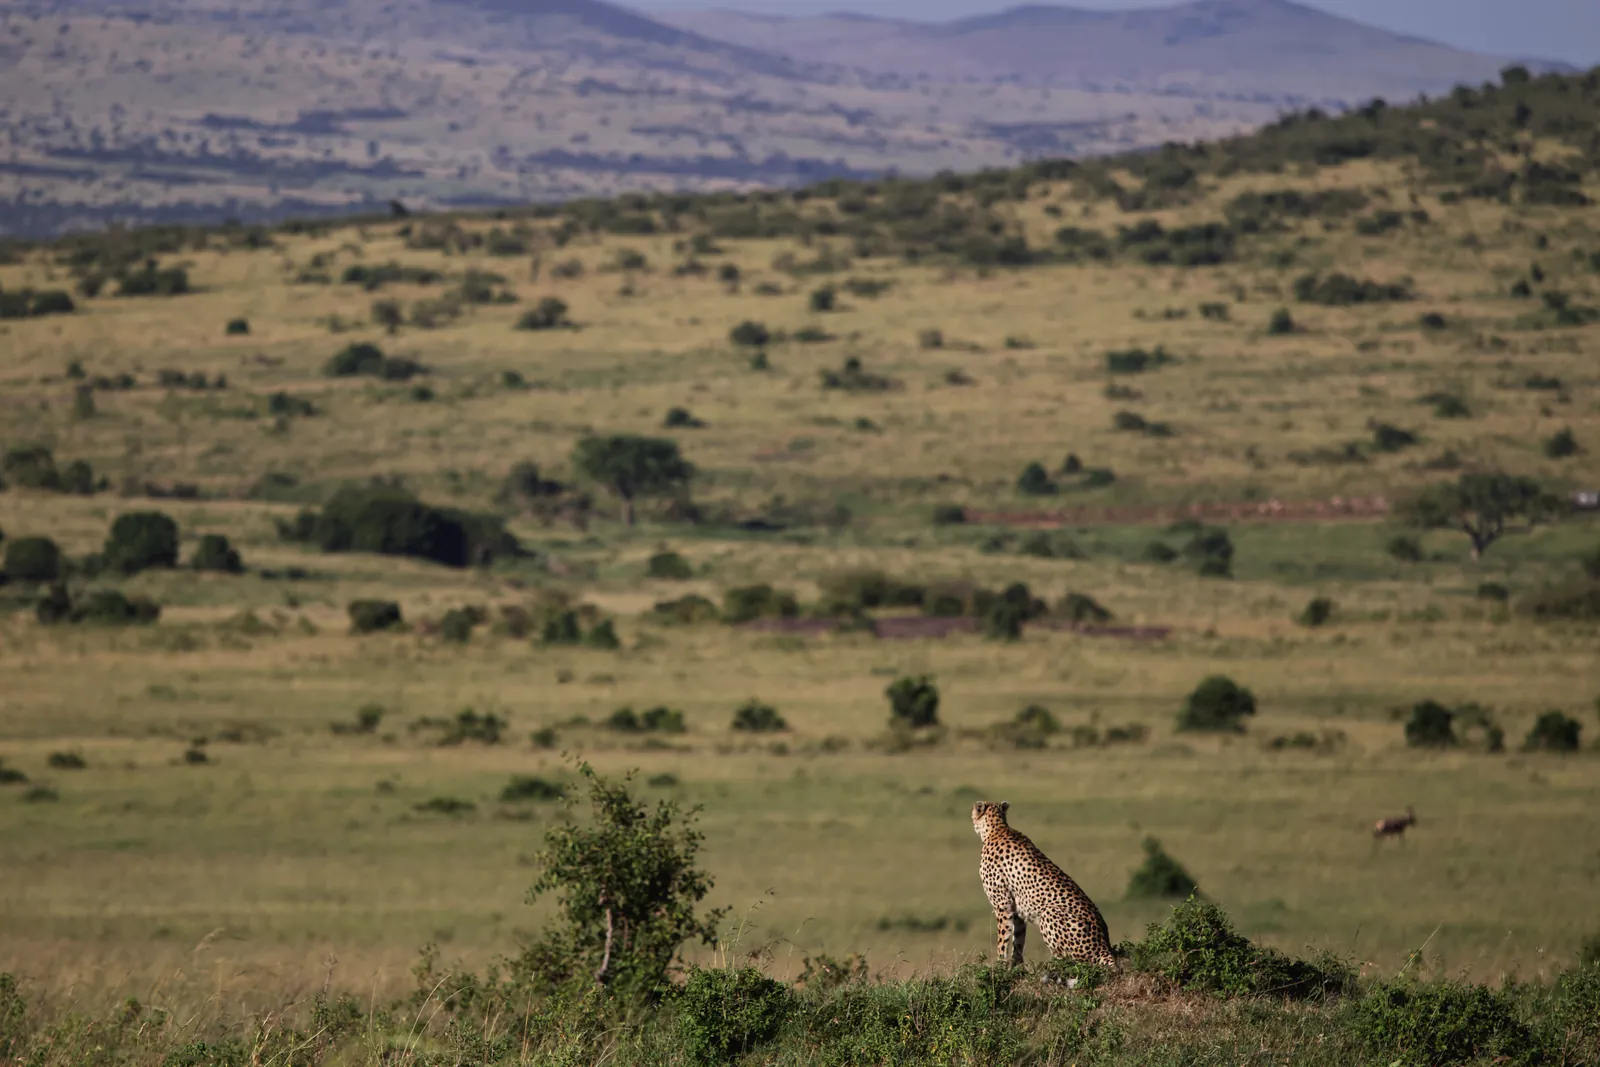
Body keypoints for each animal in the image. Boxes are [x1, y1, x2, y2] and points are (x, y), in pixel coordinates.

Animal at [972, 800, 1117, 968]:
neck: (996, 828)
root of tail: (1104, 944)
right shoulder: (1017, 909)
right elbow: (1018, 940)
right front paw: (1017, 967)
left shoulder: (1003, 904)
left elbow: (1003, 940)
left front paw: (1000, 966)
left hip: (1049, 913)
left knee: (1072, 960)